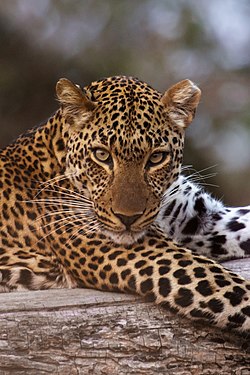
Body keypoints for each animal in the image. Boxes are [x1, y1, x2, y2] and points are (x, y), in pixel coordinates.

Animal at [0, 74, 250, 340]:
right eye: (101, 155)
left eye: (156, 158)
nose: (127, 218)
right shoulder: (149, 254)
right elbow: (235, 291)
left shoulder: (201, 219)